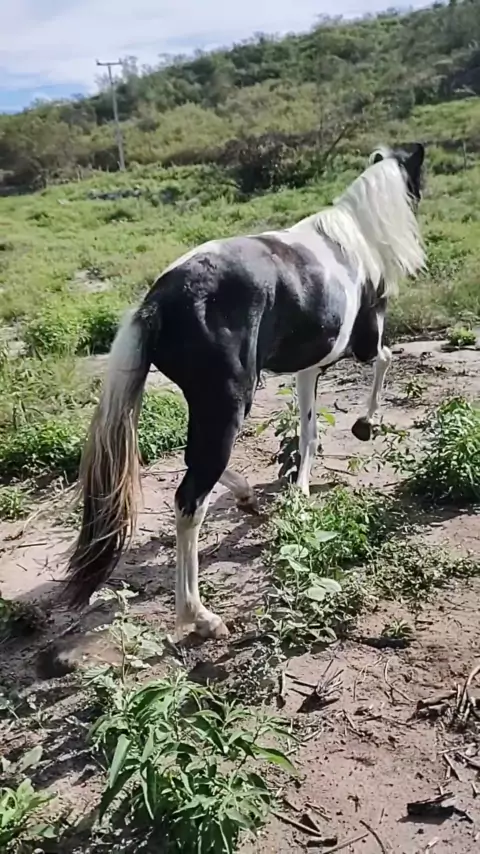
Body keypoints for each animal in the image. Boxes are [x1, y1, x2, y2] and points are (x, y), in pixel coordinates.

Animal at [64, 142, 426, 640]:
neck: (355, 241)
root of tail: (158, 302)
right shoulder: (363, 343)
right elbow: (384, 361)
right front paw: (364, 425)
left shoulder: (308, 367)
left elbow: (308, 430)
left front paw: (299, 491)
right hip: (229, 403)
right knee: (189, 502)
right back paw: (200, 617)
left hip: (211, 404)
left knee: (196, 461)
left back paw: (245, 497)